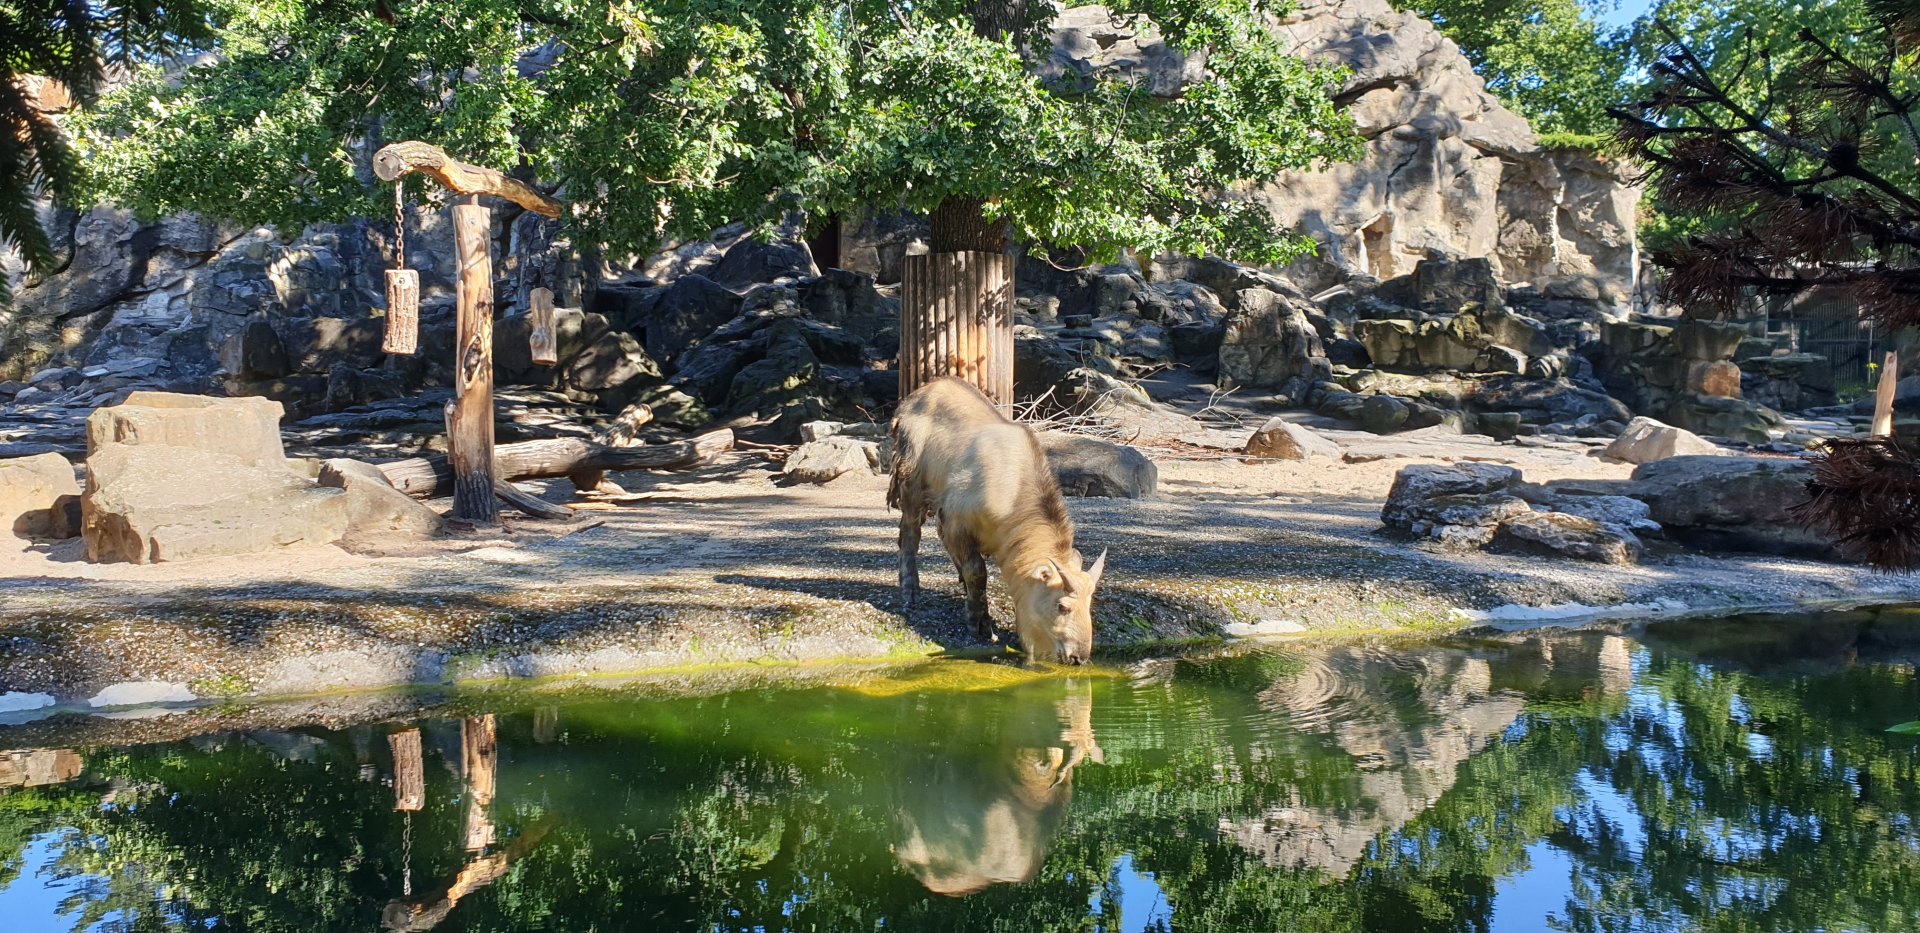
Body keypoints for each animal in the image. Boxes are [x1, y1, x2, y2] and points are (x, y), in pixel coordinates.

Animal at [888, 377, 1106, 664]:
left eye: (1089, 604)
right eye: (1062, 606)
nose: (1078, 657)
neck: (1012, 494)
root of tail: (917, 394)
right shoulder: (957, 521)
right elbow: (977, 572)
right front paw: (979, 623)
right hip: (911, 480)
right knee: (909, 534)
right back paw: (910, 591)